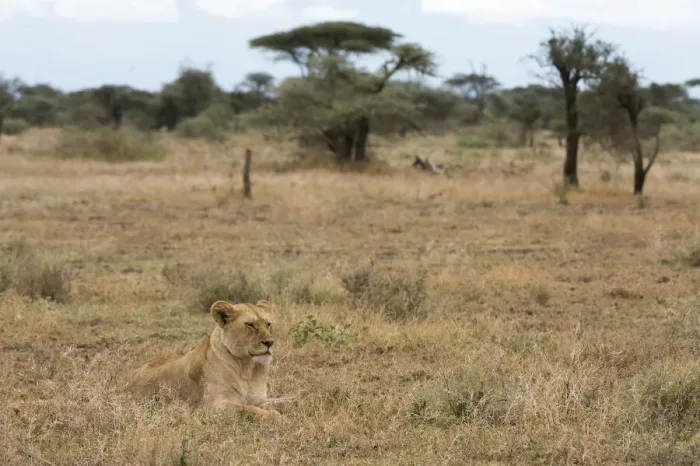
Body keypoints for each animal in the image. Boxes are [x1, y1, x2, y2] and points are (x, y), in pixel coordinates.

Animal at [125, 299, 285, 419]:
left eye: (268, 324)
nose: (270, 342)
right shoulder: (213, 405)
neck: (248, 368)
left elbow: (280, 401)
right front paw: (276, 417)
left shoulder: (259, 398)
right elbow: (249, 409)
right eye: (250, 325)